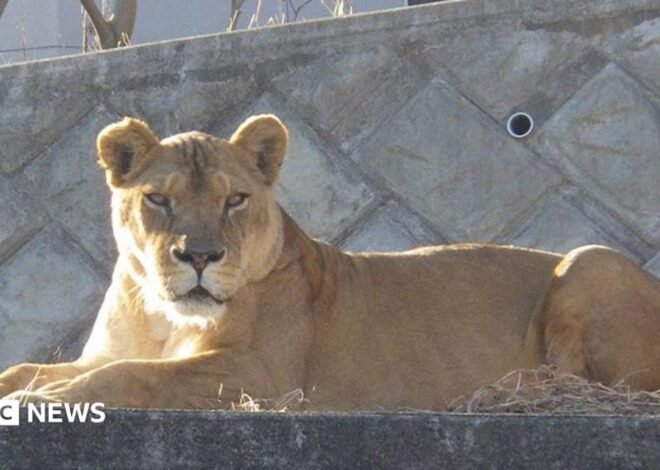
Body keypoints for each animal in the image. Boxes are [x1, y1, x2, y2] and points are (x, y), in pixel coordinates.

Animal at [1, 114, 659, 410]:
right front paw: (23, 388)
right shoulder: (107, 351)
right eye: (158, 199)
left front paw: (37, 402)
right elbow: (32, 366)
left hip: (588, 260)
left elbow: (132, 375)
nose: (200, 256)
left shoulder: (260, 375)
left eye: (235, 200)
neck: (163, 315)